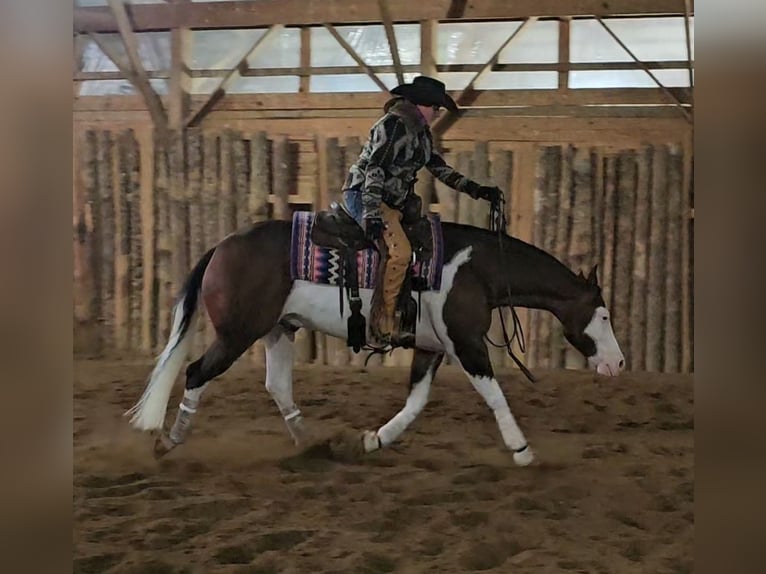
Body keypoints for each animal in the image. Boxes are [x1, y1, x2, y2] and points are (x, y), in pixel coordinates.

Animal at [126, 206, 628, 468]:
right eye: (603, 314)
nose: (619, 363)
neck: (474, 268)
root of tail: (222, 246)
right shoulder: (466, 343)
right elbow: (494, 395)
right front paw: (521, 450)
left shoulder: (431, 347)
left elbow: (415, 403)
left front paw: (372, 440)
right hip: (237, 334)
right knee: (196, 372)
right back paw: (167, 441)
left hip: (278, 330)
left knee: (277, 386)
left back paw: (311, 444)